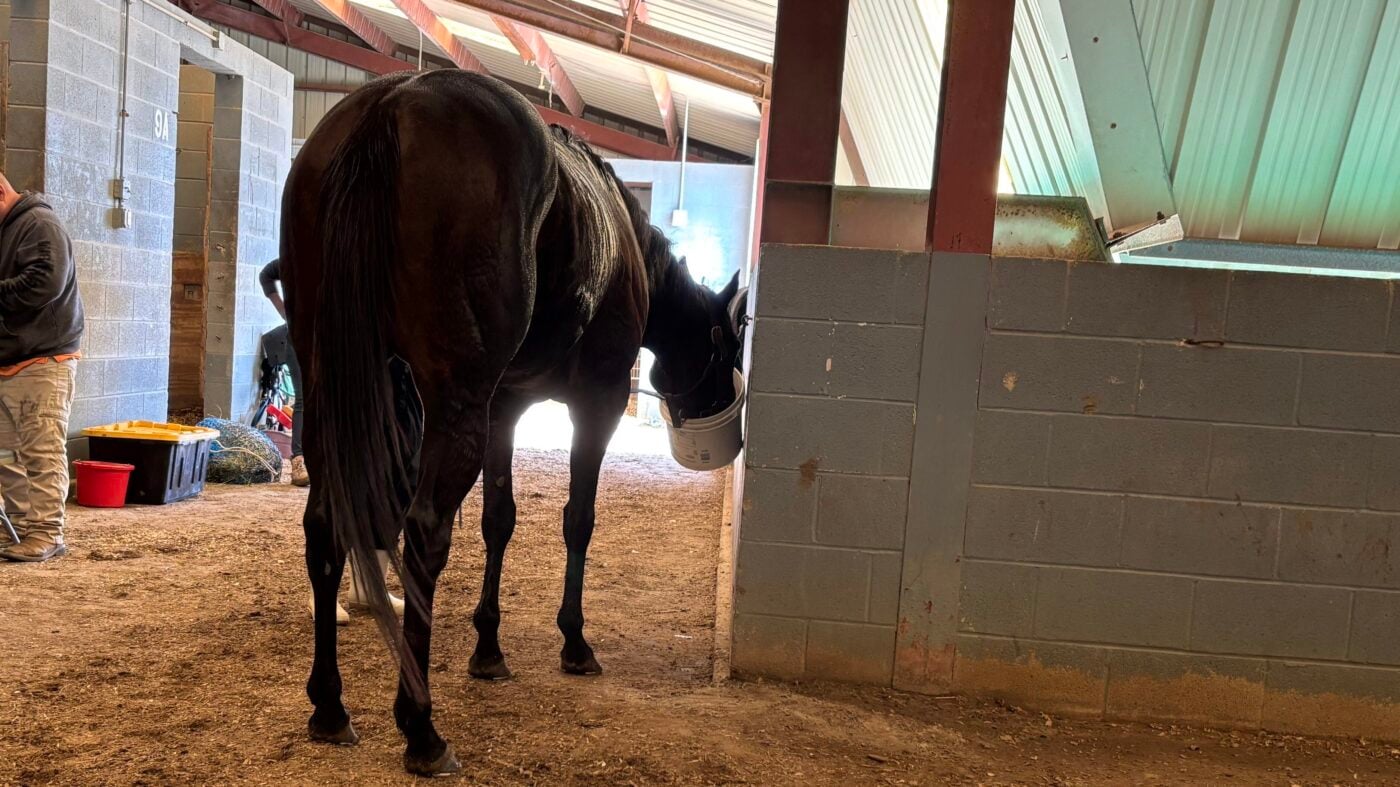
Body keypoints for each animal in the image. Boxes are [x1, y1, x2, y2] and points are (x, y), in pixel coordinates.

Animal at [279, 69, 745, 775]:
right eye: (731, 349)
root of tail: (392, 103)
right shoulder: (595, 404)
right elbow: (578, 520)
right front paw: (574, 643)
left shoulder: (505, 408)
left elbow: (499, 521)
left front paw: (488, 649)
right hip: (450, 408)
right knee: (424, 533)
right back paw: (421, 728)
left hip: (333, 392)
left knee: (327, 523)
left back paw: (330, 707)